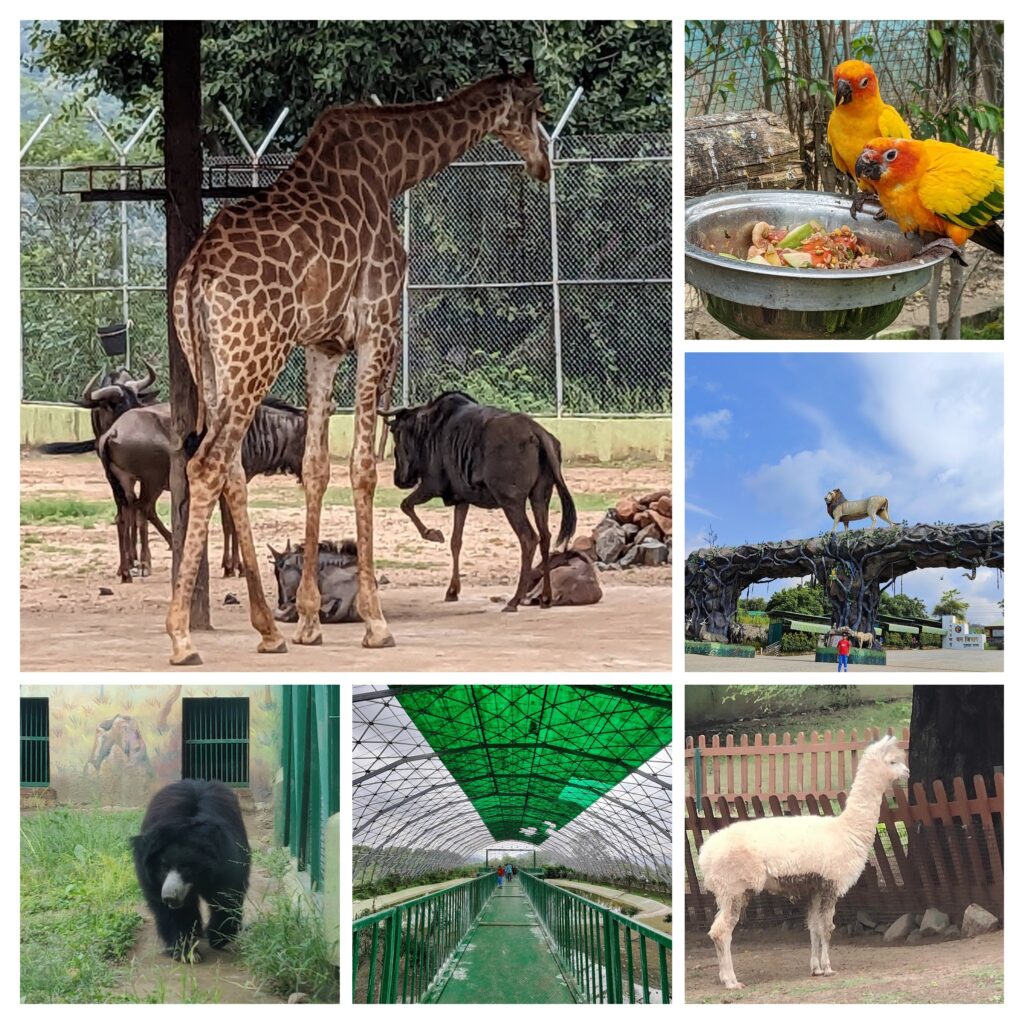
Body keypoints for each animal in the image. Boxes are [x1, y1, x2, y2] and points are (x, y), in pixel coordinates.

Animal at [132, 782, 251, 958]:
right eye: (163, 867)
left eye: (184, 867)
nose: (169, 897)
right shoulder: (150, 875)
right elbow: (172, 913)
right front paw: (186, 951)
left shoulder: (227, 863)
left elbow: (226, 897)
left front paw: (217, 938)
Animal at [165, 70, 552, 663]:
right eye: (536, 109)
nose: (542, 163)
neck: (392, 170)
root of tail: (194, 277)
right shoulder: (377, 326)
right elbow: (364, 467)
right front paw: (375, 621)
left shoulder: (322, 344)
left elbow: (316, 466)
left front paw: (307, 622)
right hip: (255, 350)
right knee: (209, 463)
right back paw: (183, 636)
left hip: (208, 359)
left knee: (228, 468)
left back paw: (268, 631)